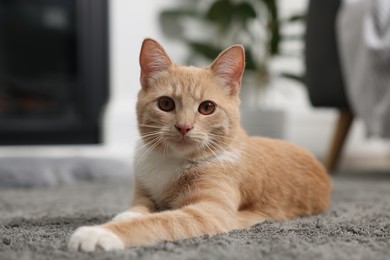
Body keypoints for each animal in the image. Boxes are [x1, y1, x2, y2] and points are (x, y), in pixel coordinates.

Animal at [68, 38, 330, 252]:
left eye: (207, 108)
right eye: (165, 104)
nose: (184, 127)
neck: (171, 161)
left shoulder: (210, 211)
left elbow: (160, 221)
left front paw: (100, 233)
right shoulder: (143, 193)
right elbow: (140, 208)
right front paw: (124, 217)